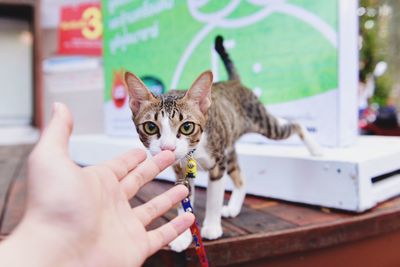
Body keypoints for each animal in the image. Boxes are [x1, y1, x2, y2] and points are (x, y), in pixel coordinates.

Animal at [123, 35, 324, 253]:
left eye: (187, 127)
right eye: (151, 127)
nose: (168, 148)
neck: (194, 153)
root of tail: (234, 81)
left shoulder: (218, 163)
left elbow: (214, 198)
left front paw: (211, 227)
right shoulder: (181, 170)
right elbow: (183, 199)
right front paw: (183, 235)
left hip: (261, 124)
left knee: (292, 124)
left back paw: (315, 148)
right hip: (229, 144)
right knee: (241, 177)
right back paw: (234, 207)